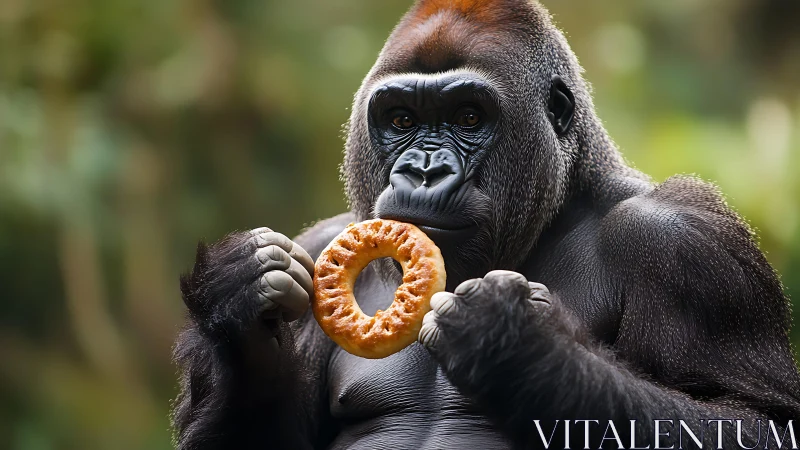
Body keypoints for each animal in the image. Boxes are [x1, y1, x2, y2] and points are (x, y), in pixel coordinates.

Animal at [171, 0, 800, 448]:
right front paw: (239, 297)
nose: (423, 170)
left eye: (469, 118)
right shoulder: (319, 242)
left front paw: (520, 348)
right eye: (401, 120)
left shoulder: (686, 243)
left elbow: (753, 420)